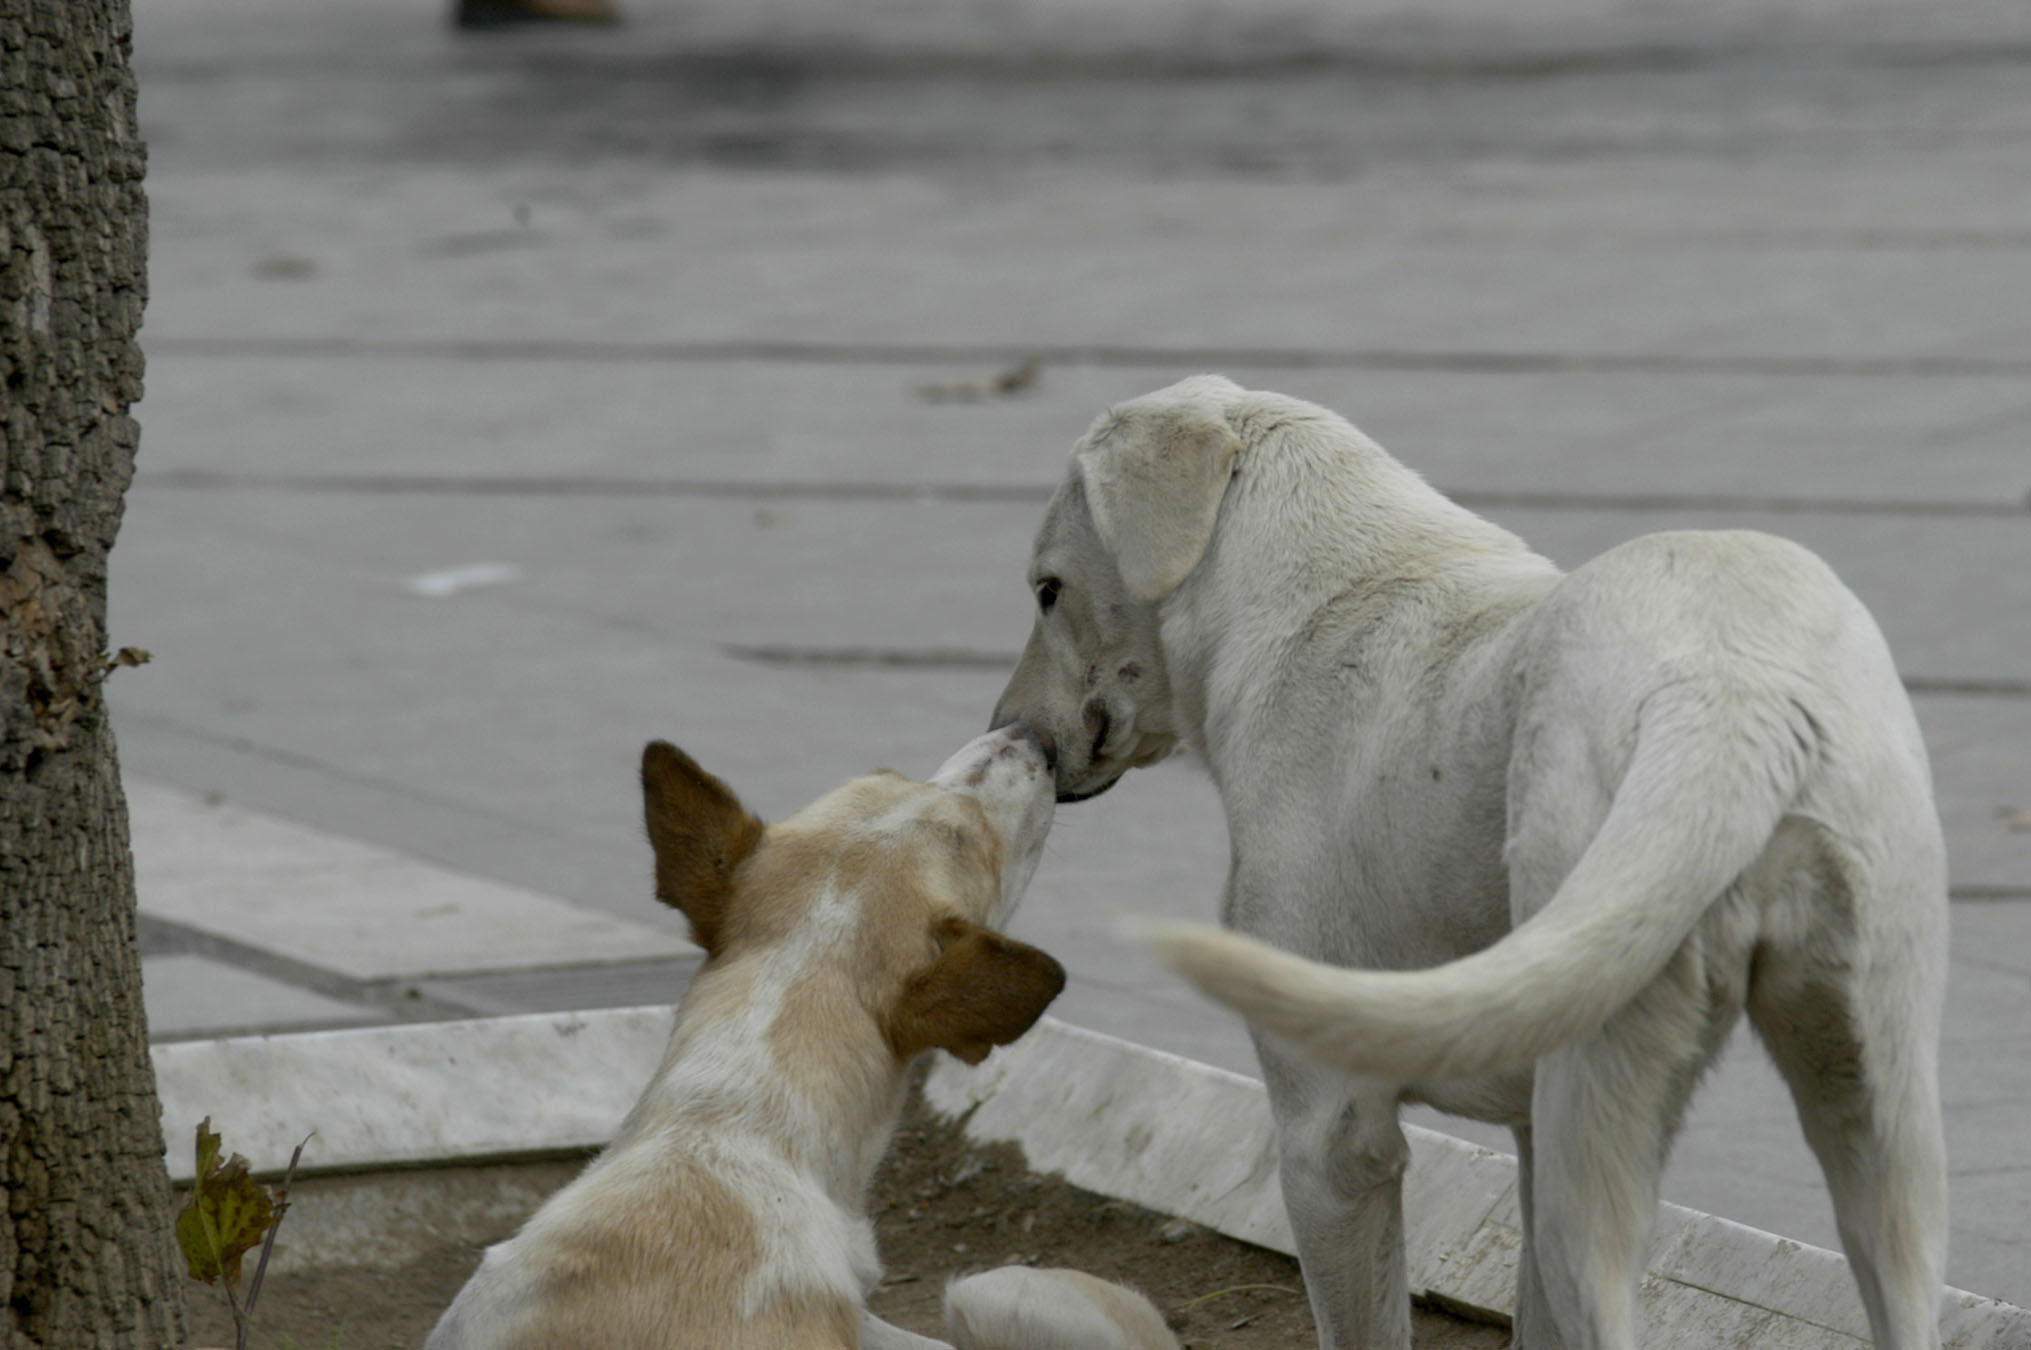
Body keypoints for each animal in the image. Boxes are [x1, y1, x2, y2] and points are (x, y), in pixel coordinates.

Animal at [991, 375, 1941, 1347]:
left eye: (1047, 591)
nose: (1014, 733)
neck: (1324, 597)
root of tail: (1727, 689)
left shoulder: (1330, 1142)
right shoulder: (1520, 1136)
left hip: (1592, 1121)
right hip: (1877, 1115)